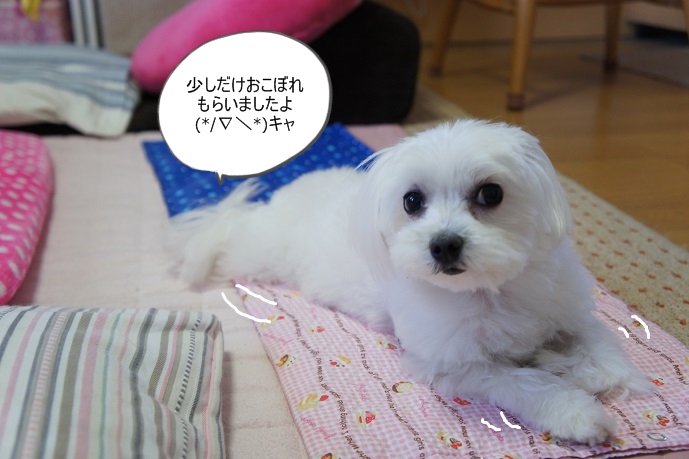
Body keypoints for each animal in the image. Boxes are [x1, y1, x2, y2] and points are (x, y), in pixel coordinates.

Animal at [169, 119, 651, 445]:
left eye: (490, 193)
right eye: (412, 201)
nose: (444, 245)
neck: (492, 290)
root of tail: (286, 193)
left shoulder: (572, 311)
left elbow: (607, 358)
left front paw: (568, 364)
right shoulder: (457, 366)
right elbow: (523, 384)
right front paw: (575, 411)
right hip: (258, 251)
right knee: (230, 235)